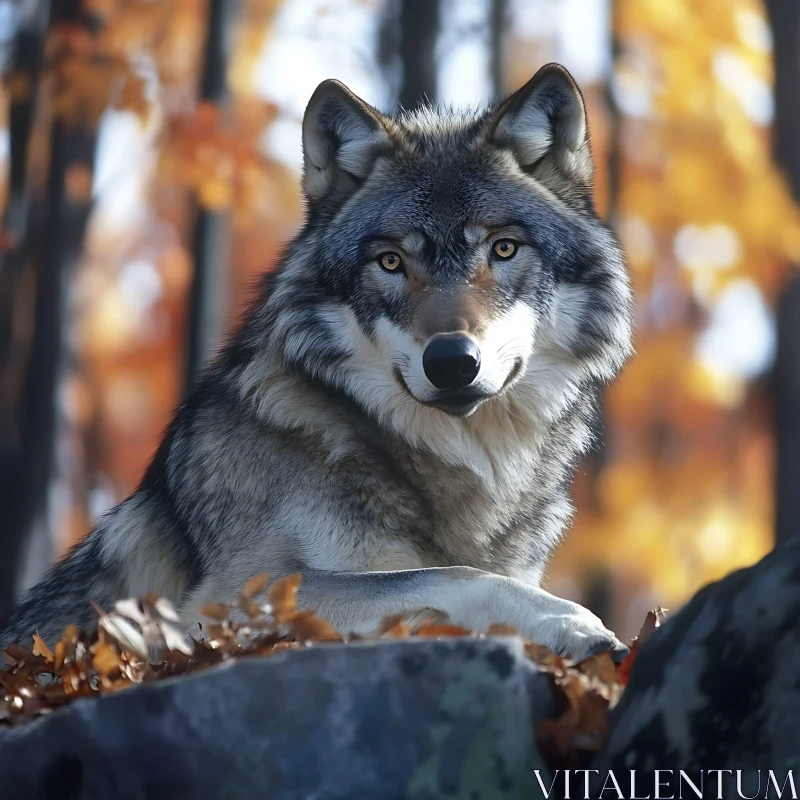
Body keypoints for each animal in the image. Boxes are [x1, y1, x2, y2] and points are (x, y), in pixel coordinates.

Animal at [3, 64, 636, 664]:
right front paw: (571, 620)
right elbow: (455, 574)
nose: (453, 361)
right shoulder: (225, 600)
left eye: (503, 249)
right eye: (390, 261)